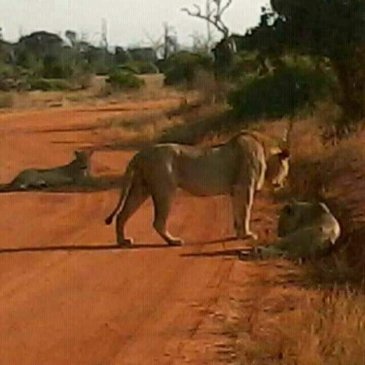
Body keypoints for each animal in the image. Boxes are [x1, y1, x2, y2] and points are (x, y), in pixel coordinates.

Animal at [104, 129, 290, 246]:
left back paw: (123, 241)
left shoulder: (234, 191)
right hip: (165, 189)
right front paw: (247, 235)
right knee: (158, 222)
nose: (282, 183)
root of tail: (141, 153)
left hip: (140, 188)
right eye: (286, 168)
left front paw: (239, 234)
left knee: (121, 215)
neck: (265, 150)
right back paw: (174, 241)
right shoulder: (244, 187)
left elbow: (237, 213)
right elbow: (245, 211)